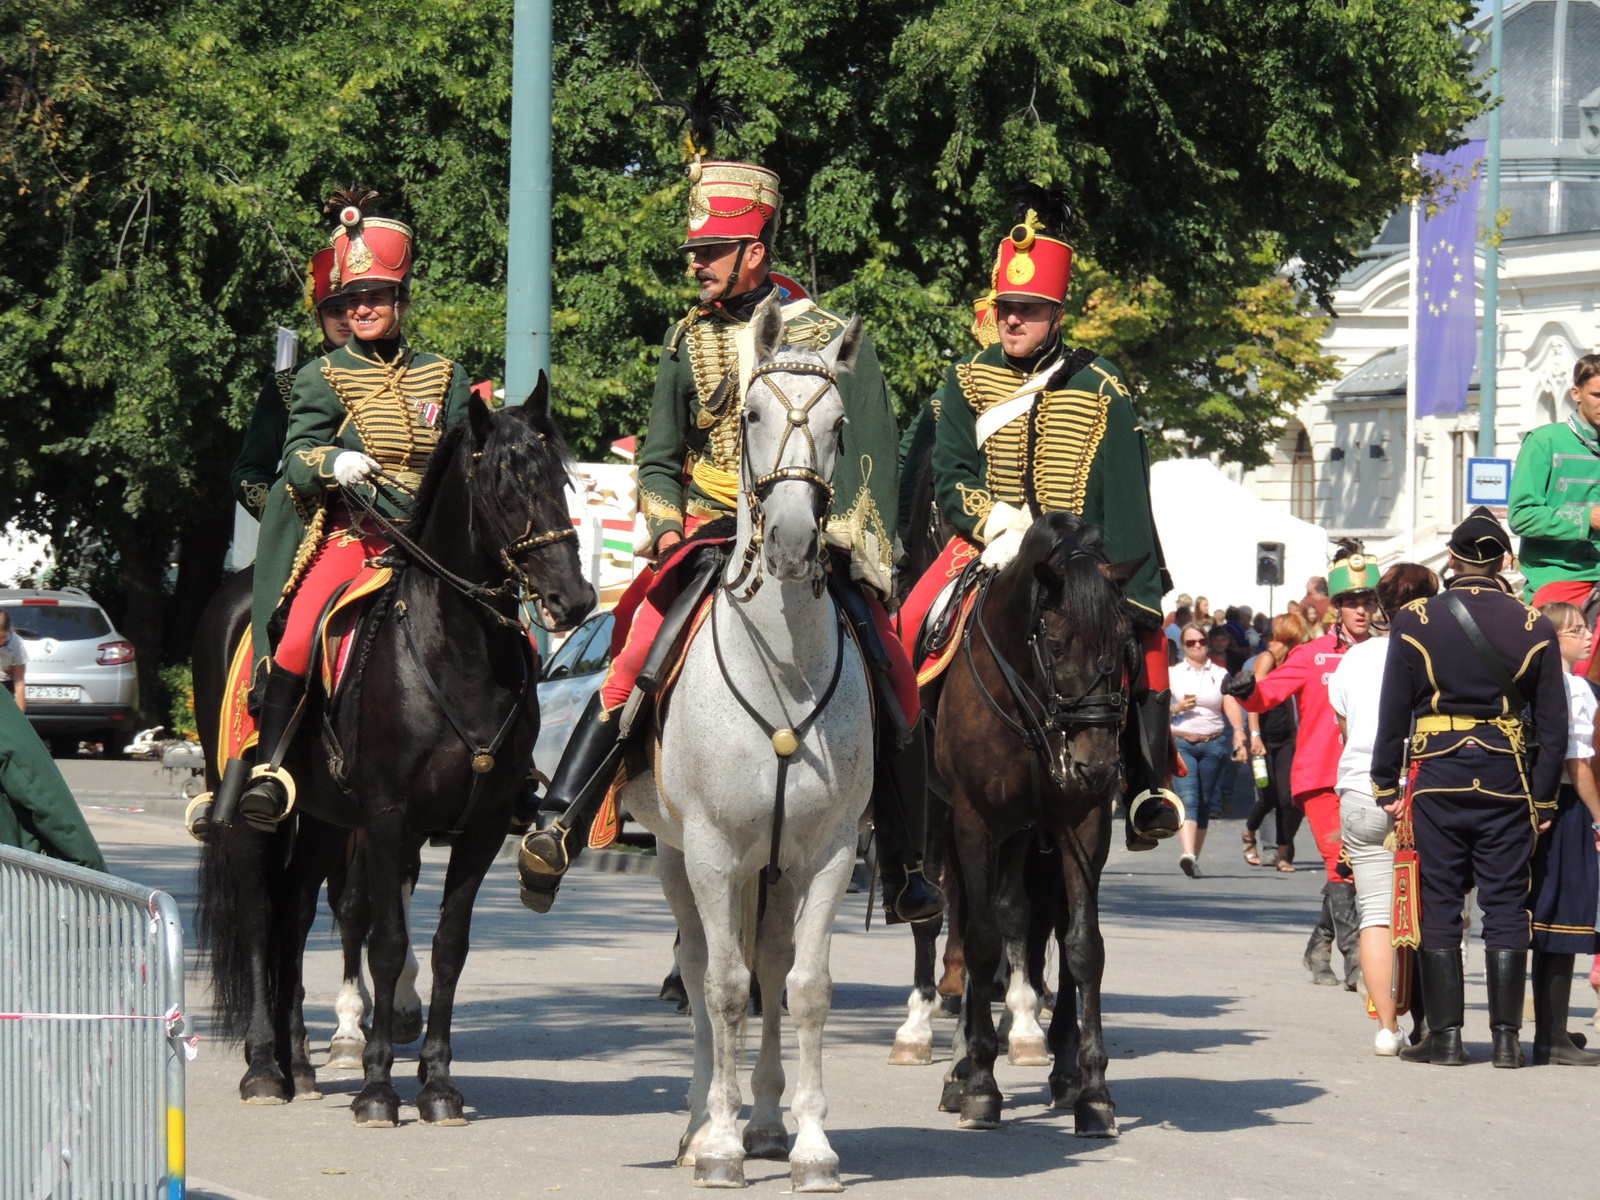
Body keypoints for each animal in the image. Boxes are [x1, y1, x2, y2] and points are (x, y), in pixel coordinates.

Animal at [624, 294, 876, 1196]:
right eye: (754, 413)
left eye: (839, 424)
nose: (796, 539)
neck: (784, 681)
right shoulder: (710, 848)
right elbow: (726, 991)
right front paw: (721, 1147)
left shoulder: (829, 850)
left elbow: (805, 988)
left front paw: (812, 1146)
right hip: (682, 860)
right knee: (705, 969)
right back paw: (705, 1123)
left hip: (773, 868)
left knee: (768, 962)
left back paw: (765, 1117)